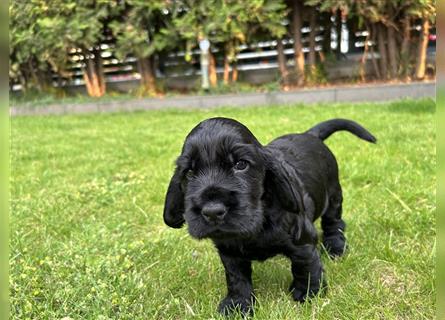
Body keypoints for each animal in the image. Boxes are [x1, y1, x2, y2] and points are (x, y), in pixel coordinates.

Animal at [163, 117, 374, 316]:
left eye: (241, 164)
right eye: (189, 172)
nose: (212, 211)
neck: (258, 220)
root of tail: (310, 134)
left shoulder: (302, 241)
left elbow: (305, 265)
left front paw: (308, 293)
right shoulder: (229, 251)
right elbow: (236, 278)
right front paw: (237, 305)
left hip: (333, 195)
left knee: (334, 222)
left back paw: (335, 247)